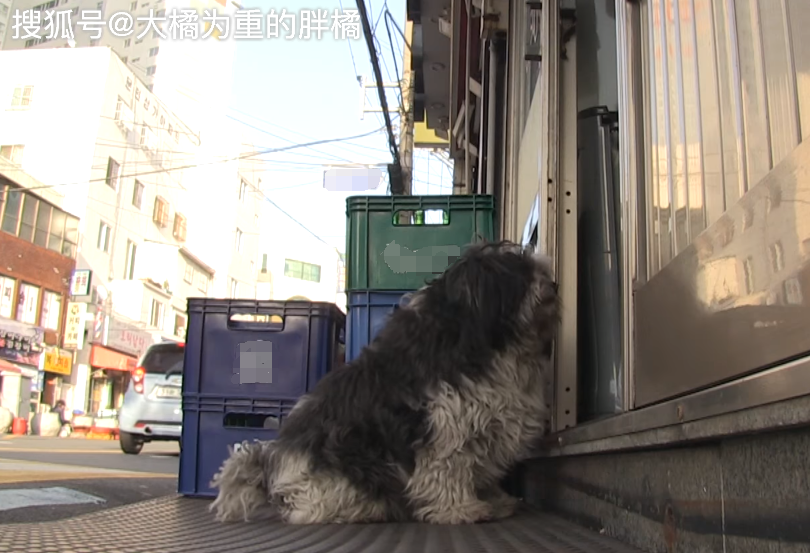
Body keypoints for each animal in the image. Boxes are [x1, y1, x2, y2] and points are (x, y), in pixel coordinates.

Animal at [210, 239, 560, 524]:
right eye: (521, 274)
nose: (555, 285)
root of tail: (273, 466)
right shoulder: (446, 425)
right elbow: (449, 469)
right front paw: (459, 509)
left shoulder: (485, 424)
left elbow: (481, 471)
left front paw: (494, 500)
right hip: (342, 473)